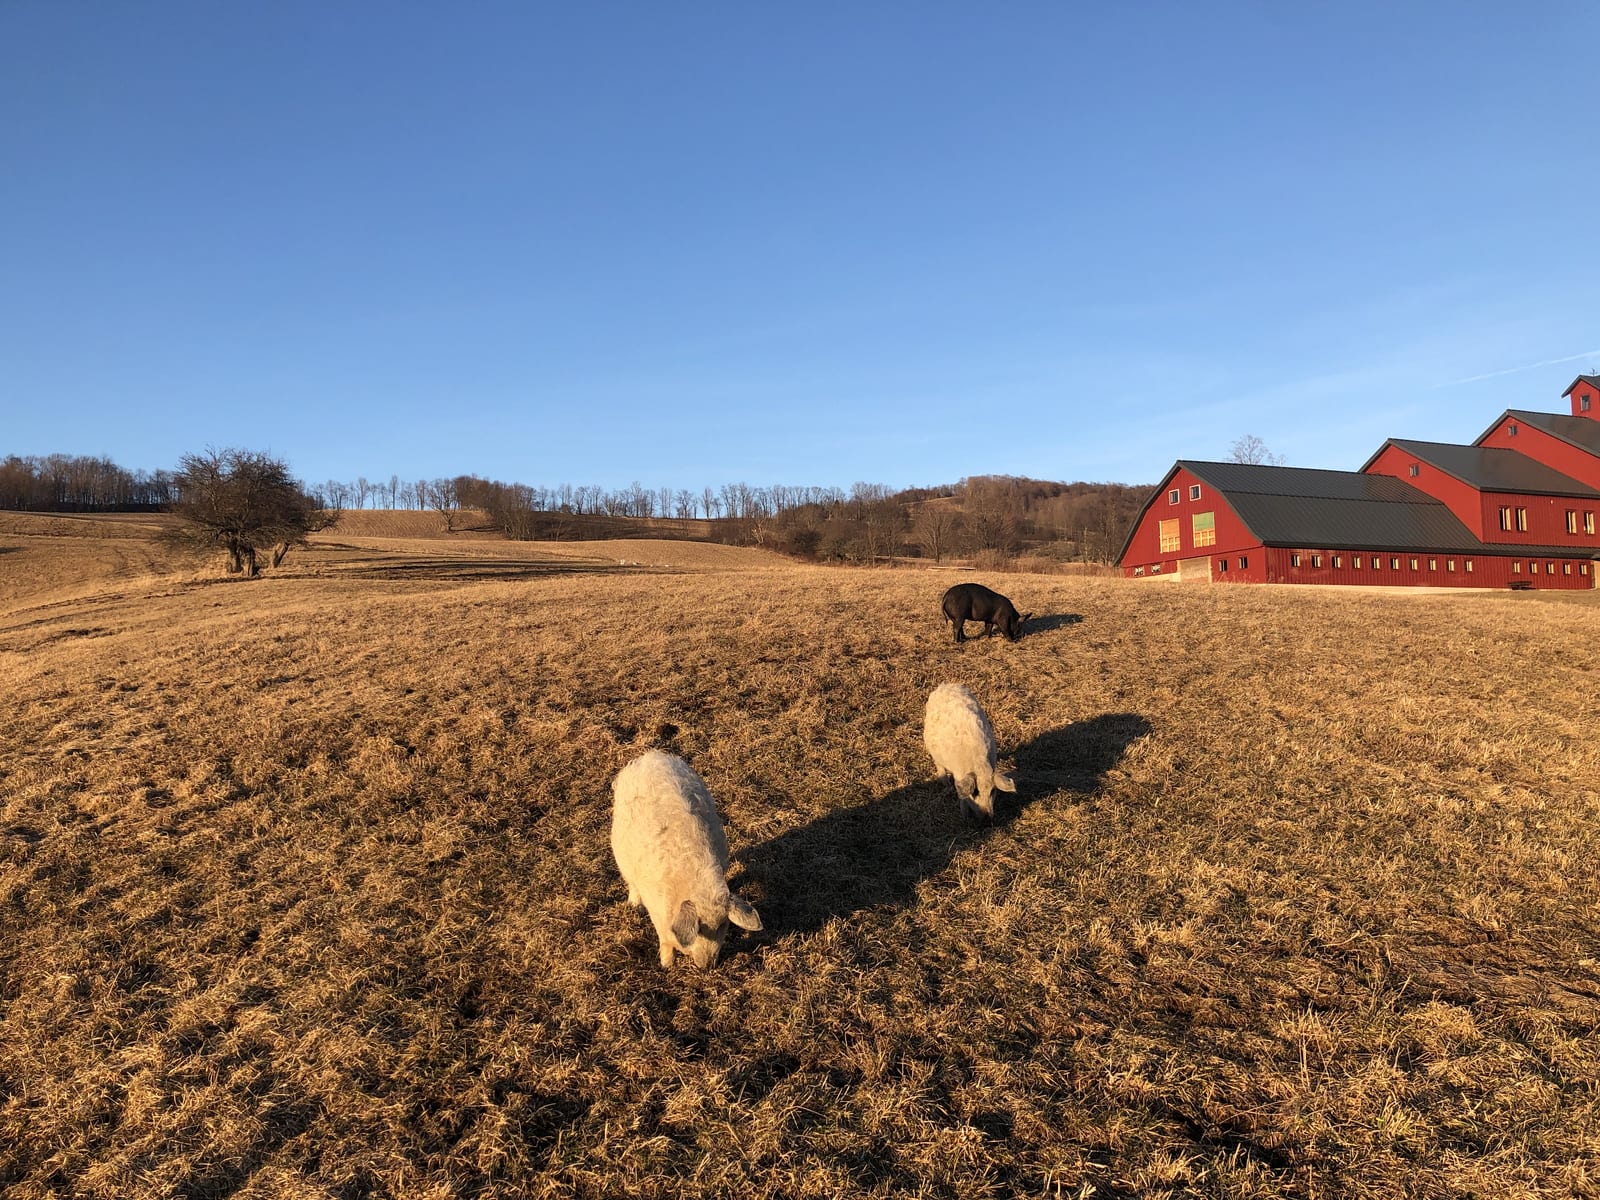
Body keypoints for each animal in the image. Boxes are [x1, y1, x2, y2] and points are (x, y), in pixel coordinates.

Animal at [610, 749, 762, 968]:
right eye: (698, 929)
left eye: (723, 925)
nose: (707, 966)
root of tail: (651, 756)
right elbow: (664, 941)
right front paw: (666, 965)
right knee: (631, 883)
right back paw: (633, 905)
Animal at [923, 682, 1016, 821]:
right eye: (975, 792)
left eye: (992, 791)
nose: (987, 817)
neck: (978, 763)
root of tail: (945, 685)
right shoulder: (958, 775)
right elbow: (962, 795)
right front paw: (964, 816)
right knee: (939, 764)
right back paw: (946, 783)